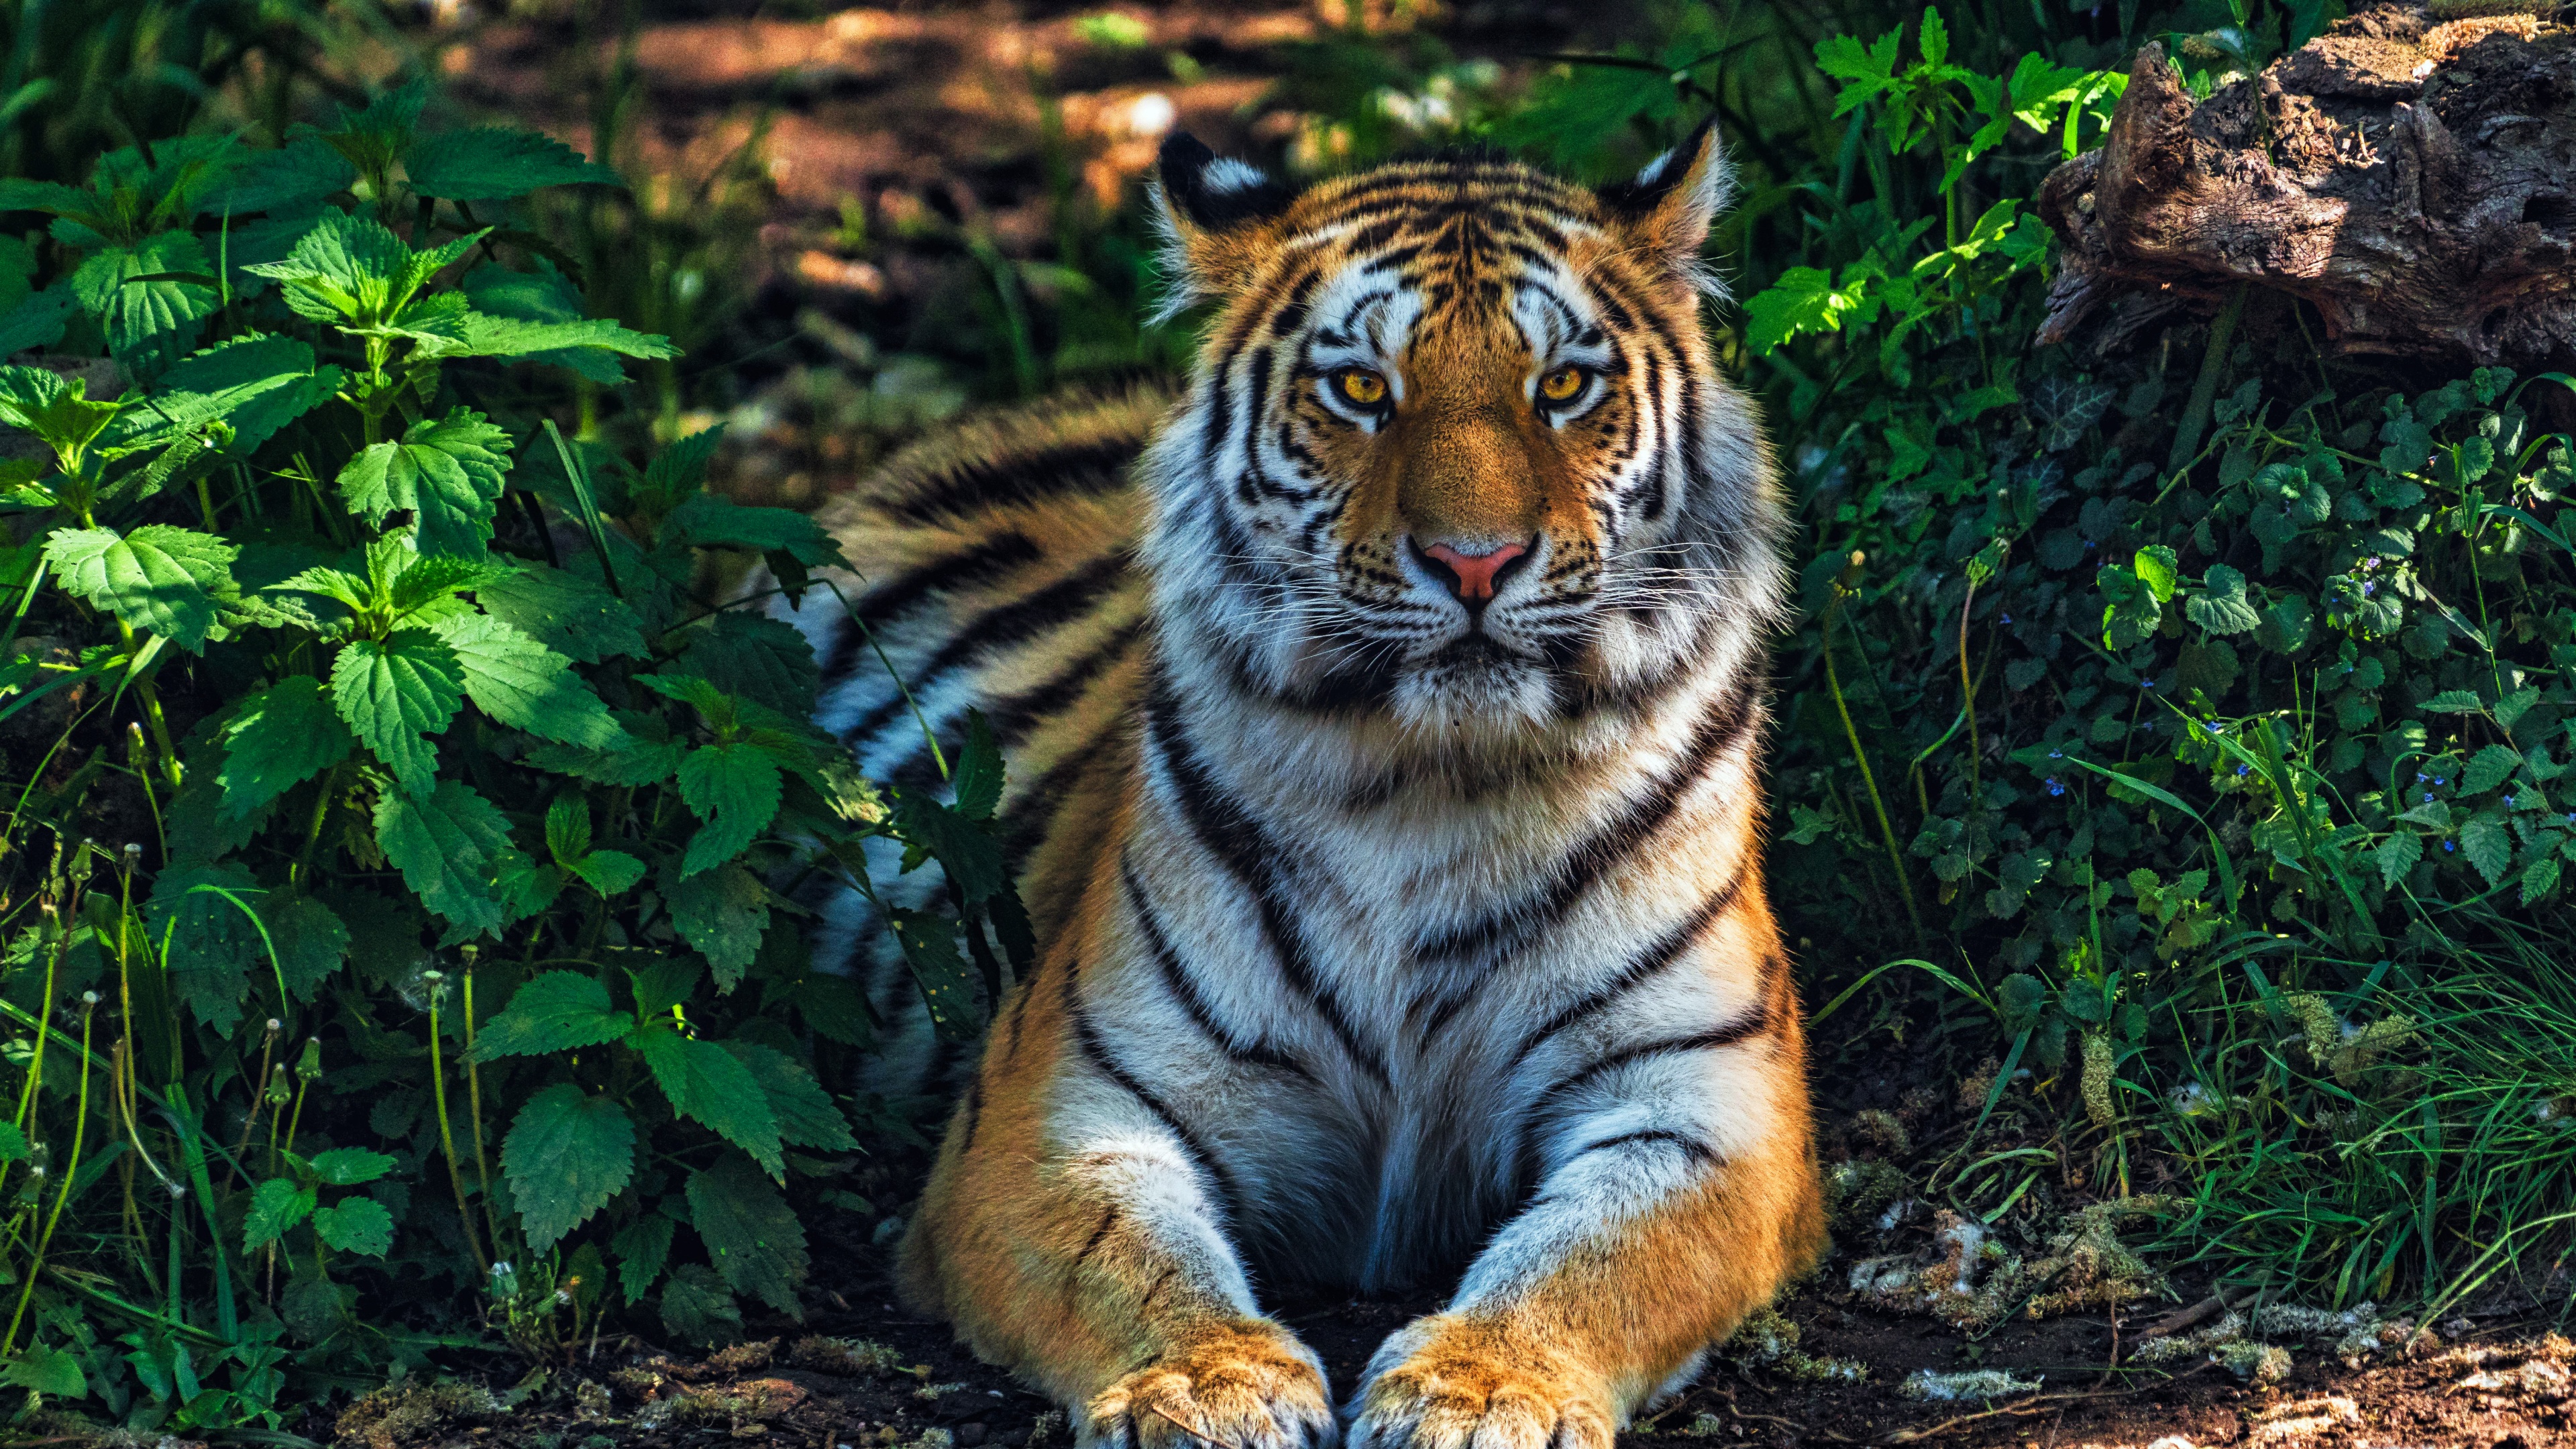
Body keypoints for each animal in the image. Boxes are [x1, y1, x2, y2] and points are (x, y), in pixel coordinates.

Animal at [763, 122, 1825, 1449]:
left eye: (1563, 388)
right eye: (1362, 392)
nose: (1475, 562)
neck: (1437, 787)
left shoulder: (1704, 1102)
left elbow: (1597, 1261)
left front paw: (1482, 1391)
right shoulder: (1059, 1106)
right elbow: (1126, 1259)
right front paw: (1204, 1385)